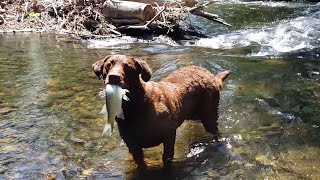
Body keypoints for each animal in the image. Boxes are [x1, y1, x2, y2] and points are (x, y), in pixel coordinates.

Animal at [92, 54, 230, 167]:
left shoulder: (169, 135)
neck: (136, 106)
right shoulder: (133, 145)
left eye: (127, 67)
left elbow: (166, 158)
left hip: (209, 116)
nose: (113, 77)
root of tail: (212, 76)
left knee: (215, 131)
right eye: (108, 65)